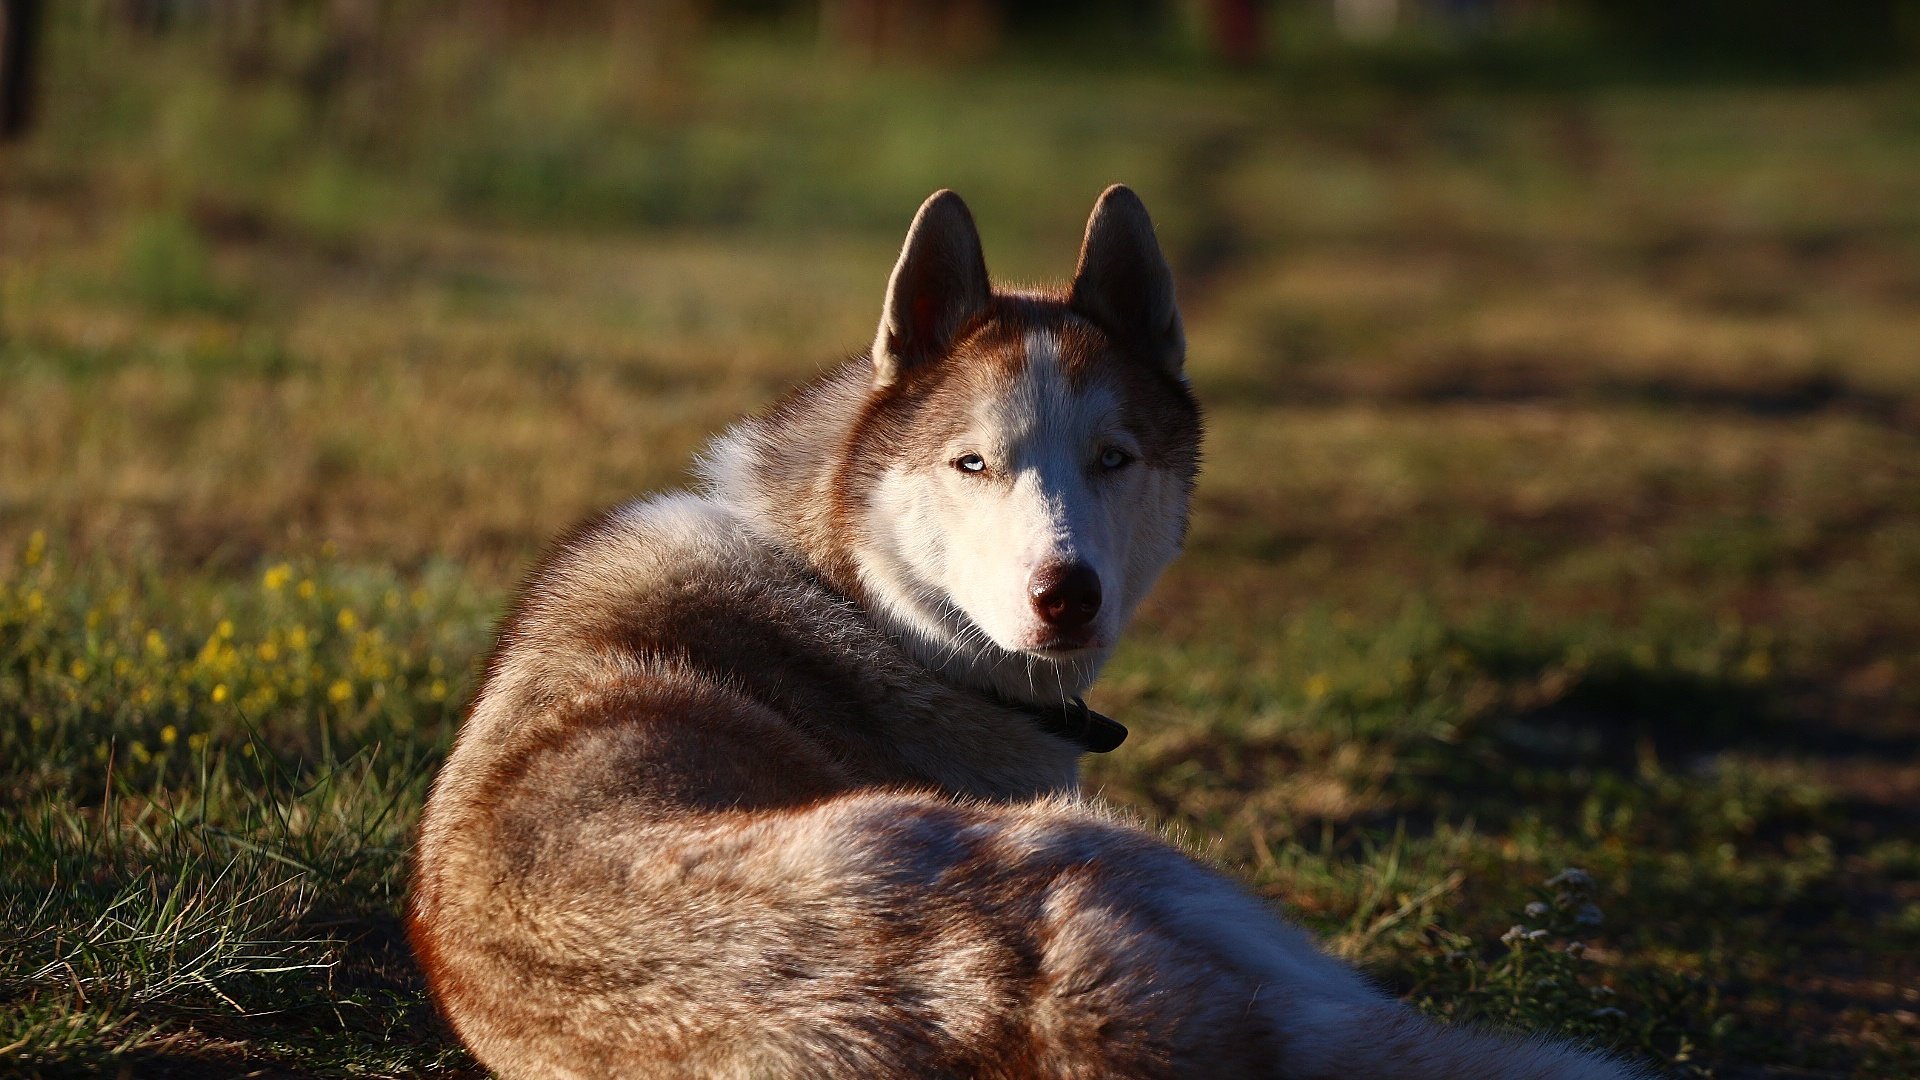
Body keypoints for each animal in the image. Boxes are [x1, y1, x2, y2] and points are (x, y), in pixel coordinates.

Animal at [408, 187, 1635, 1076]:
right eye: (972, 464)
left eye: (1113, 457)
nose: (1066, 594)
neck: (854, 593)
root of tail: (1022, 1005)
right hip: (1147, 862)